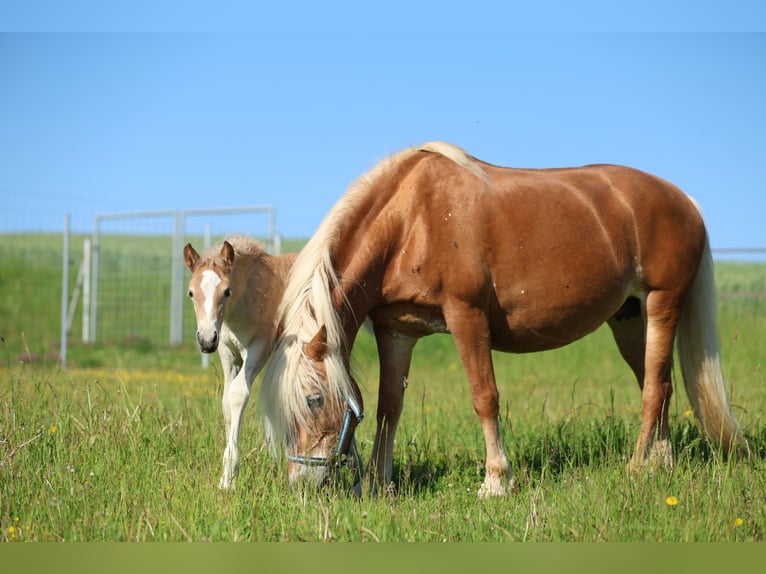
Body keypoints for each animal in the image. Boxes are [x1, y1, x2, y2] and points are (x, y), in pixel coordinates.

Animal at [184, 234, 297, 489]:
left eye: (227, 291)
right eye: (191, 293)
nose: (206, 339)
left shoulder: (259, 348)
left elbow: (237, 395)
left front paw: (228, 479)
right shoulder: (227, 352)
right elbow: (226, 401)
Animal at [259, 141, 748, 497]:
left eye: (313, 400)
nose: (301, 483)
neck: (411, 219)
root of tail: (684, 200)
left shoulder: (466, 316)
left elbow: (485, 397)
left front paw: (496, 481)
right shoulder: (395, 329)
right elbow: (387, 407)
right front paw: (377, 483)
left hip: (663, 304)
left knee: (654, 390)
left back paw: (635, 468)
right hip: (630, 319)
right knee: (658, 382)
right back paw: (659, 465)